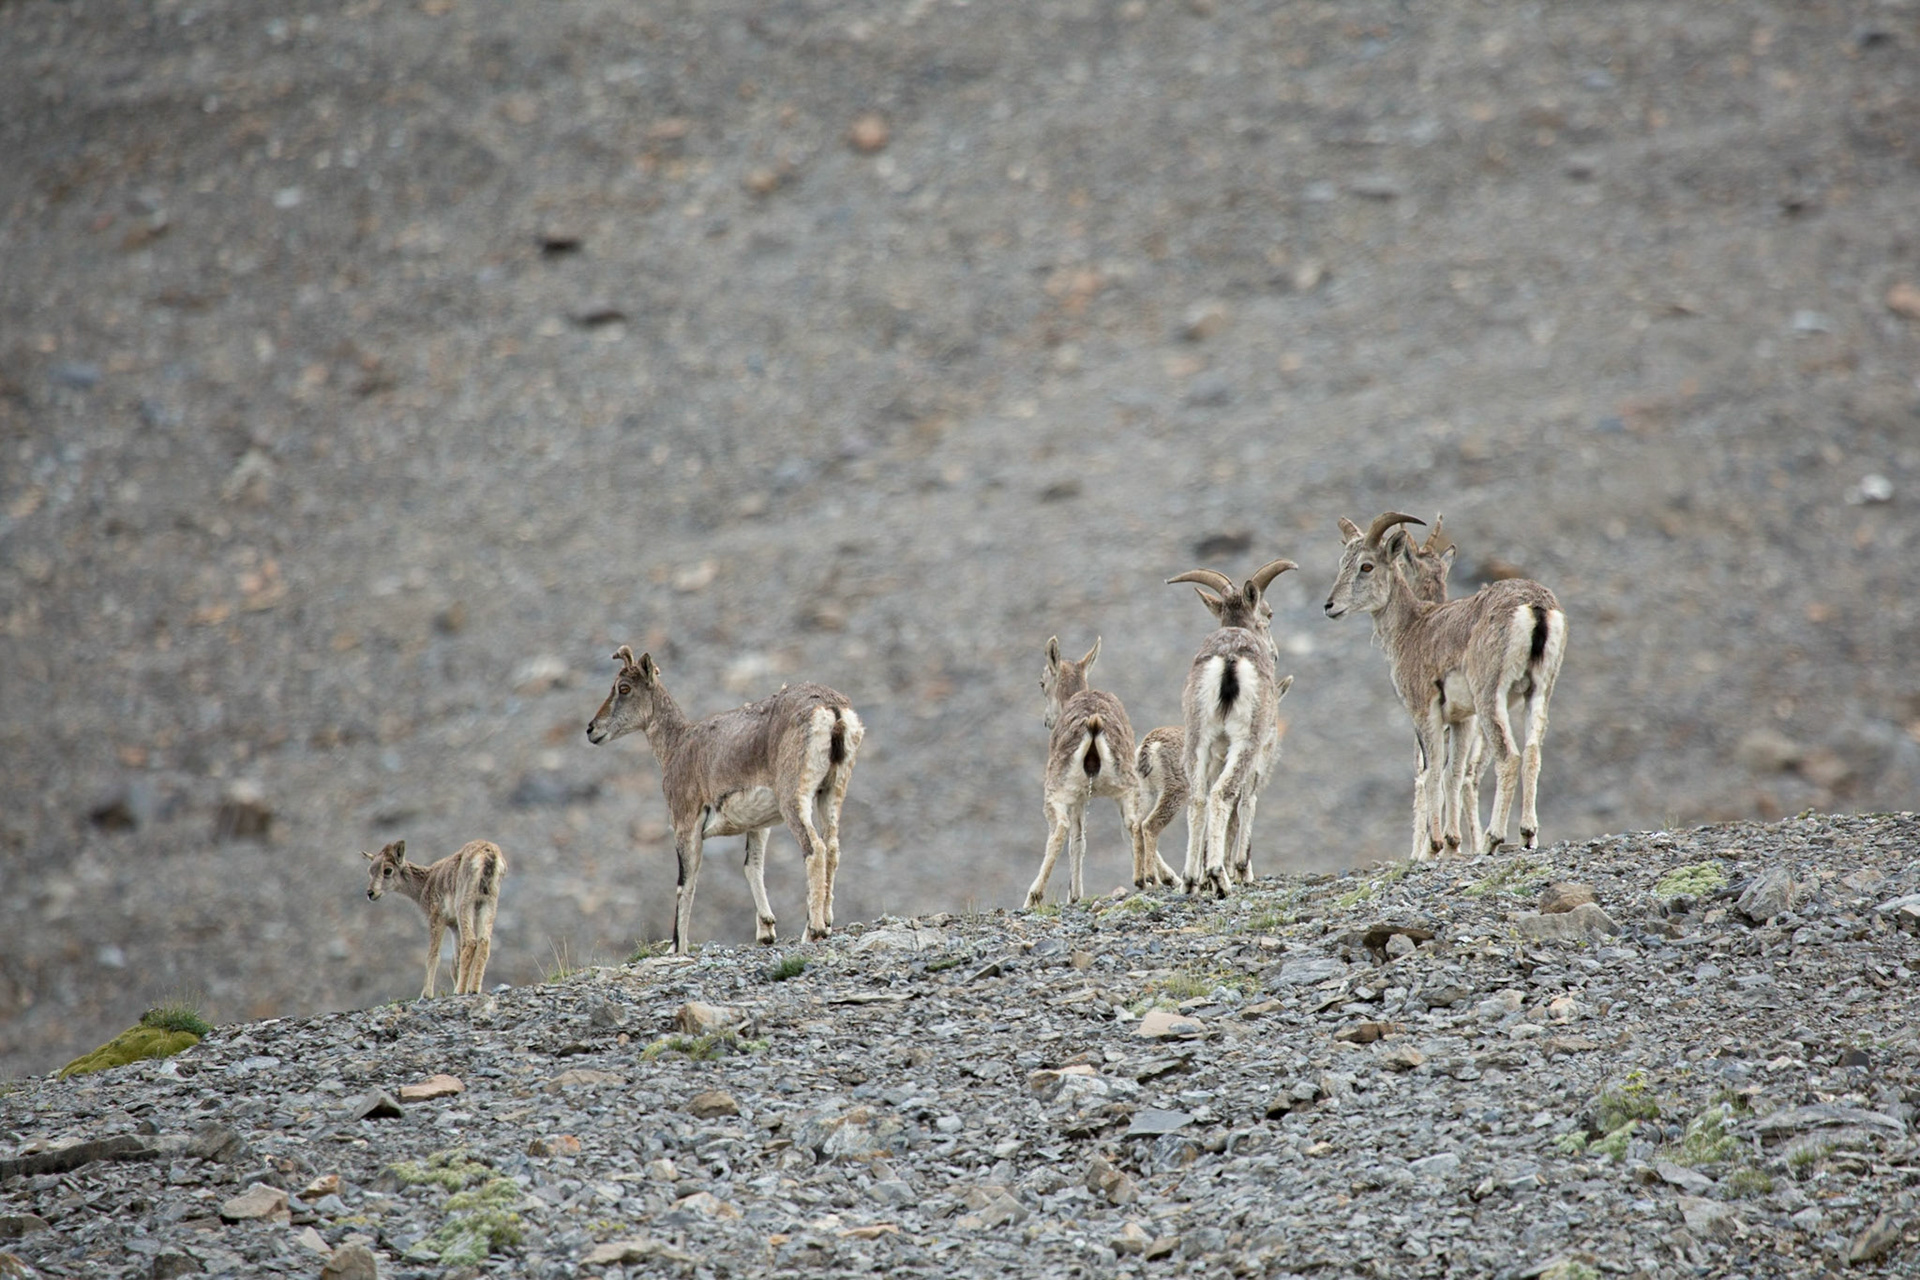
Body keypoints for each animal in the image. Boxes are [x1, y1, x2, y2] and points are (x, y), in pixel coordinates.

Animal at [363, 838, 506, 997]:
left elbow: (433, 956)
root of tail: (488, 855)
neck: (426, 882)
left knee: (470, 942)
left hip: (465, 906)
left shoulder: (437, 919)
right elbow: (455, 962)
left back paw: (460, 991)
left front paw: (426, 994)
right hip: (487, 905)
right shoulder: (454, 926)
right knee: (483, 942)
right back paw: (473, 988)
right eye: (370, 871)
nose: (370, 893)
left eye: (387, 870)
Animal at [585, 646, 863, 953]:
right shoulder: (759, 826)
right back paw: (826, 922)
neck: (676, 747)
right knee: (833, 848)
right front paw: (766, 930)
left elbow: (686, 882)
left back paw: (813, 930)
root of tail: (832, 711)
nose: (592, 729)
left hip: (794, 798)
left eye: (624, 688)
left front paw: (677, 946)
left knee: (815, 848)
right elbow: (752, 867)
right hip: (832, 791)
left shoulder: (686, 824)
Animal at [1166, 558, 1299, 896]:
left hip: (1197, 741)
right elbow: (1247, 803)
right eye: (1269, 614)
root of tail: (1228, 661)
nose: (1275, 654)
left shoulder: (1215, 753)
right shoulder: (1257, 757)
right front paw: (1241, 870)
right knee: (1222, 794)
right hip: (1244, 743)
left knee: (1199, 798)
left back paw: (1191, 880)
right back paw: (1219, 877)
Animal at [1324, 513, 1568, 855]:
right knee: (1532, 753)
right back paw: (1527, 834)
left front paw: (1436, 845)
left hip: (1490, 696)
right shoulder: (1461, 720)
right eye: (1343, 562)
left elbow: (1432, 772)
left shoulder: (1426, 713)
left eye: (1366, 566)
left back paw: (1492, 838)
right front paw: (1451, 843)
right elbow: (1451, 773)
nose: (1330, 606)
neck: (1411, 628)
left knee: (1509, 757)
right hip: (1540, 691)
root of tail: (1535, 610)